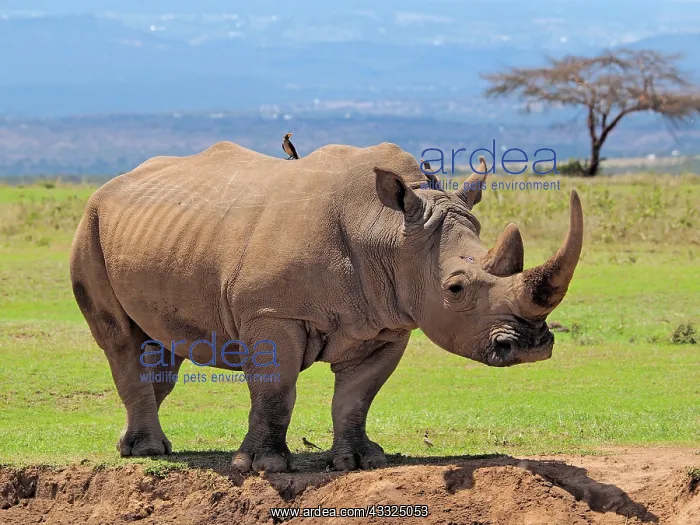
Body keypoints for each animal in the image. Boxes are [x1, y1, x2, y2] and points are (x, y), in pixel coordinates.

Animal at [69, 141, 583, 473]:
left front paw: (359, 460)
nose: (532, 347)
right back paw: (146, 453)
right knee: (121, 339)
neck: (389, 233)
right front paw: (265, 466)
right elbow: (275, 390)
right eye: (455, 289)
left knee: (160, 348)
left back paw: (137, 445)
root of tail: (113, 184)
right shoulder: (272, 315)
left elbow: (356, 397)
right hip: (89, 222)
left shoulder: (388, 322)